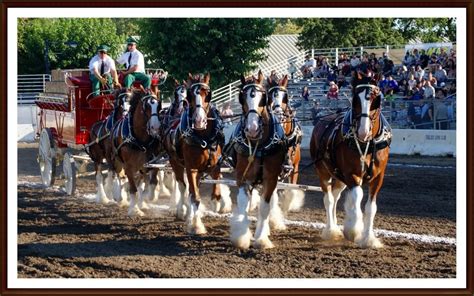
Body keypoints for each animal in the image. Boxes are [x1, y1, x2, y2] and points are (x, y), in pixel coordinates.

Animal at [162, 72, 231, 234]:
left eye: (207, 94)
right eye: (190, 96)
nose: (199, 121)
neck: (203, 137)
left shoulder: (215, 166)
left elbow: (214, 193)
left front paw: (216, 204)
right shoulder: (191, 168)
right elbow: (195, 197)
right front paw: (196, 225)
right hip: (175, 163)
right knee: (183, 187)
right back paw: (182, 212)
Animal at [229, 70, 286, 249]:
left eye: (263, 97)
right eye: (242, 97)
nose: (252, 129)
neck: (258, 144)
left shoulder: (271, 178)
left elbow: (265, 207)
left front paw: (261, 238)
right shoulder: (242, 177)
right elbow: (243, 204)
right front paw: (241, 236)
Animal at [266, 73, 304, 214]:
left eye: (285, 96)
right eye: (270, 96)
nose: (278, 114)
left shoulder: (295, 167)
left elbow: (292, 189)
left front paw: (287, 206)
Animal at [310, 72, 390, 247]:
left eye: (376, 98)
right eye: (355, 99)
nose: (363, 132)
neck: (368, 143)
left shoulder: (378, 177)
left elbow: (371, 208)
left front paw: (368, 238)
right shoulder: (352, 174)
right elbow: (357, 197)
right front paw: (353, 230)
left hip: (339, 176)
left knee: (335, 196)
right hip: (323, 171)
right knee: (328, 199)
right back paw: (331, 230)